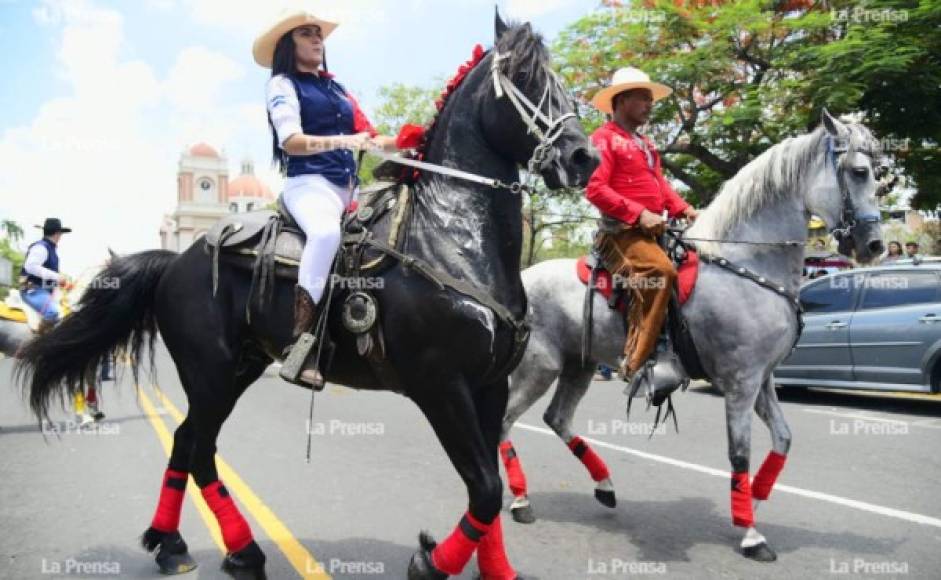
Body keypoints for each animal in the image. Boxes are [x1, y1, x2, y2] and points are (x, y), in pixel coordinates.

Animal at [14, 13, 600, 580]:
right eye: (524, 75)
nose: (583, 156)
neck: (450, 236)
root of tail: (175, 261)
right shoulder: (441, 386)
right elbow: (484, 489)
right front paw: (428, 562)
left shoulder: (490, 384)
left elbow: (489, 490)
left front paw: (491, 567)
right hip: (208, 371)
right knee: (199, 449)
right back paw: (235, 549)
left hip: (240, 368)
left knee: (185, 442)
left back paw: (177, 544)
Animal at [496, 111, 884, 560]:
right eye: (859, 172)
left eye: (878, 173)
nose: (875, 245)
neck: (747, 265)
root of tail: (522, 278)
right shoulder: (739, 382)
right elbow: (739, 453)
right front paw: (751, 533)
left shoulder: (763, 379)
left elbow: (783, 439)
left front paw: (756, 498)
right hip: (539, 367)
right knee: (504, 421)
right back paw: (520, 499)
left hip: (580, 364)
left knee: (557, 418)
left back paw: (604, 486)